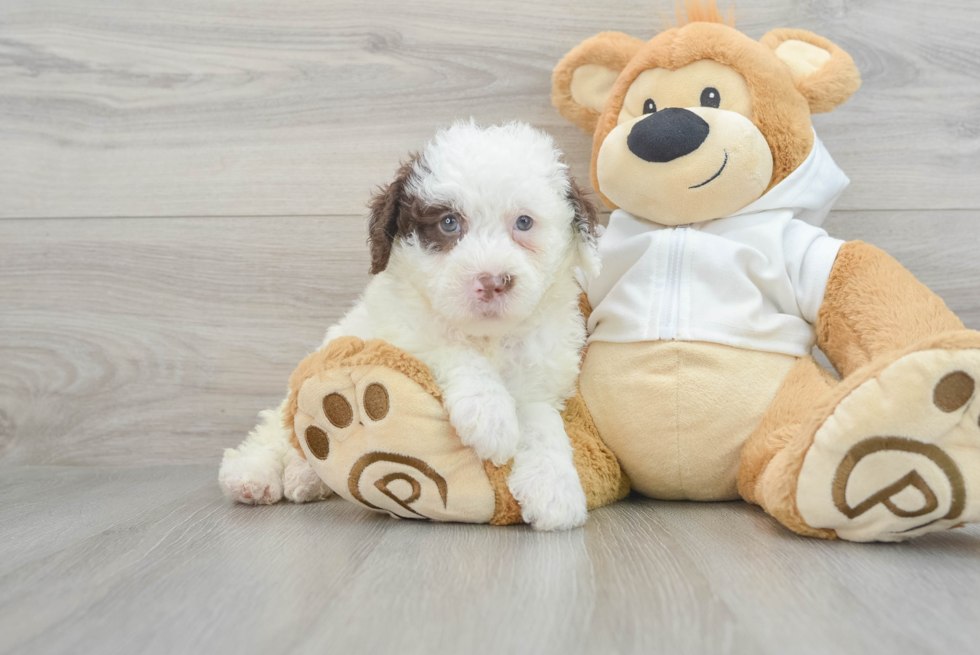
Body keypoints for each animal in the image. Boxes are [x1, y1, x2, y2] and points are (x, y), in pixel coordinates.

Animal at [219, 121, 600, 532]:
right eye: (449, 223)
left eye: (524, 223)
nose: (493, 281)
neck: (488, 336)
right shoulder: (398, 331)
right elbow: (450, 347)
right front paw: (489, 414)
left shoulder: (540, 378)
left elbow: (543, 424)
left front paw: (554, 488)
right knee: (273, 433)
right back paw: (254, 475)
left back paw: (305, 478)